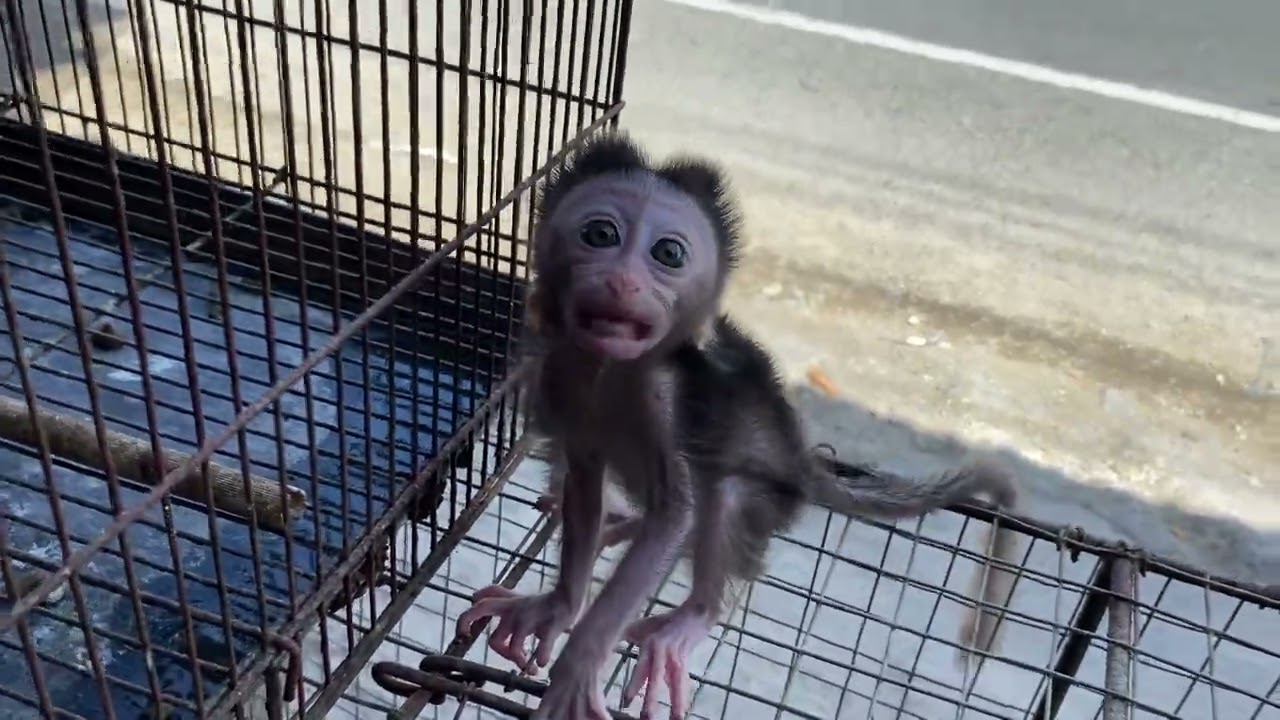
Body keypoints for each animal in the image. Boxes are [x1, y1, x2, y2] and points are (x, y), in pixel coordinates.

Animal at [455, 131, 1020, 720]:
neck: (610, 371)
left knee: (721, 497)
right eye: (600, 235)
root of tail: (801, 461)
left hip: (769, 494)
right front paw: (558, 605)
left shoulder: (667, 396)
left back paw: (692, 616)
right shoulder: (561, 375)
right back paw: (622, 525)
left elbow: (673, 515)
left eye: (669, 253)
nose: (622, 281)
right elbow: (585, 486)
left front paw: (577, 668)